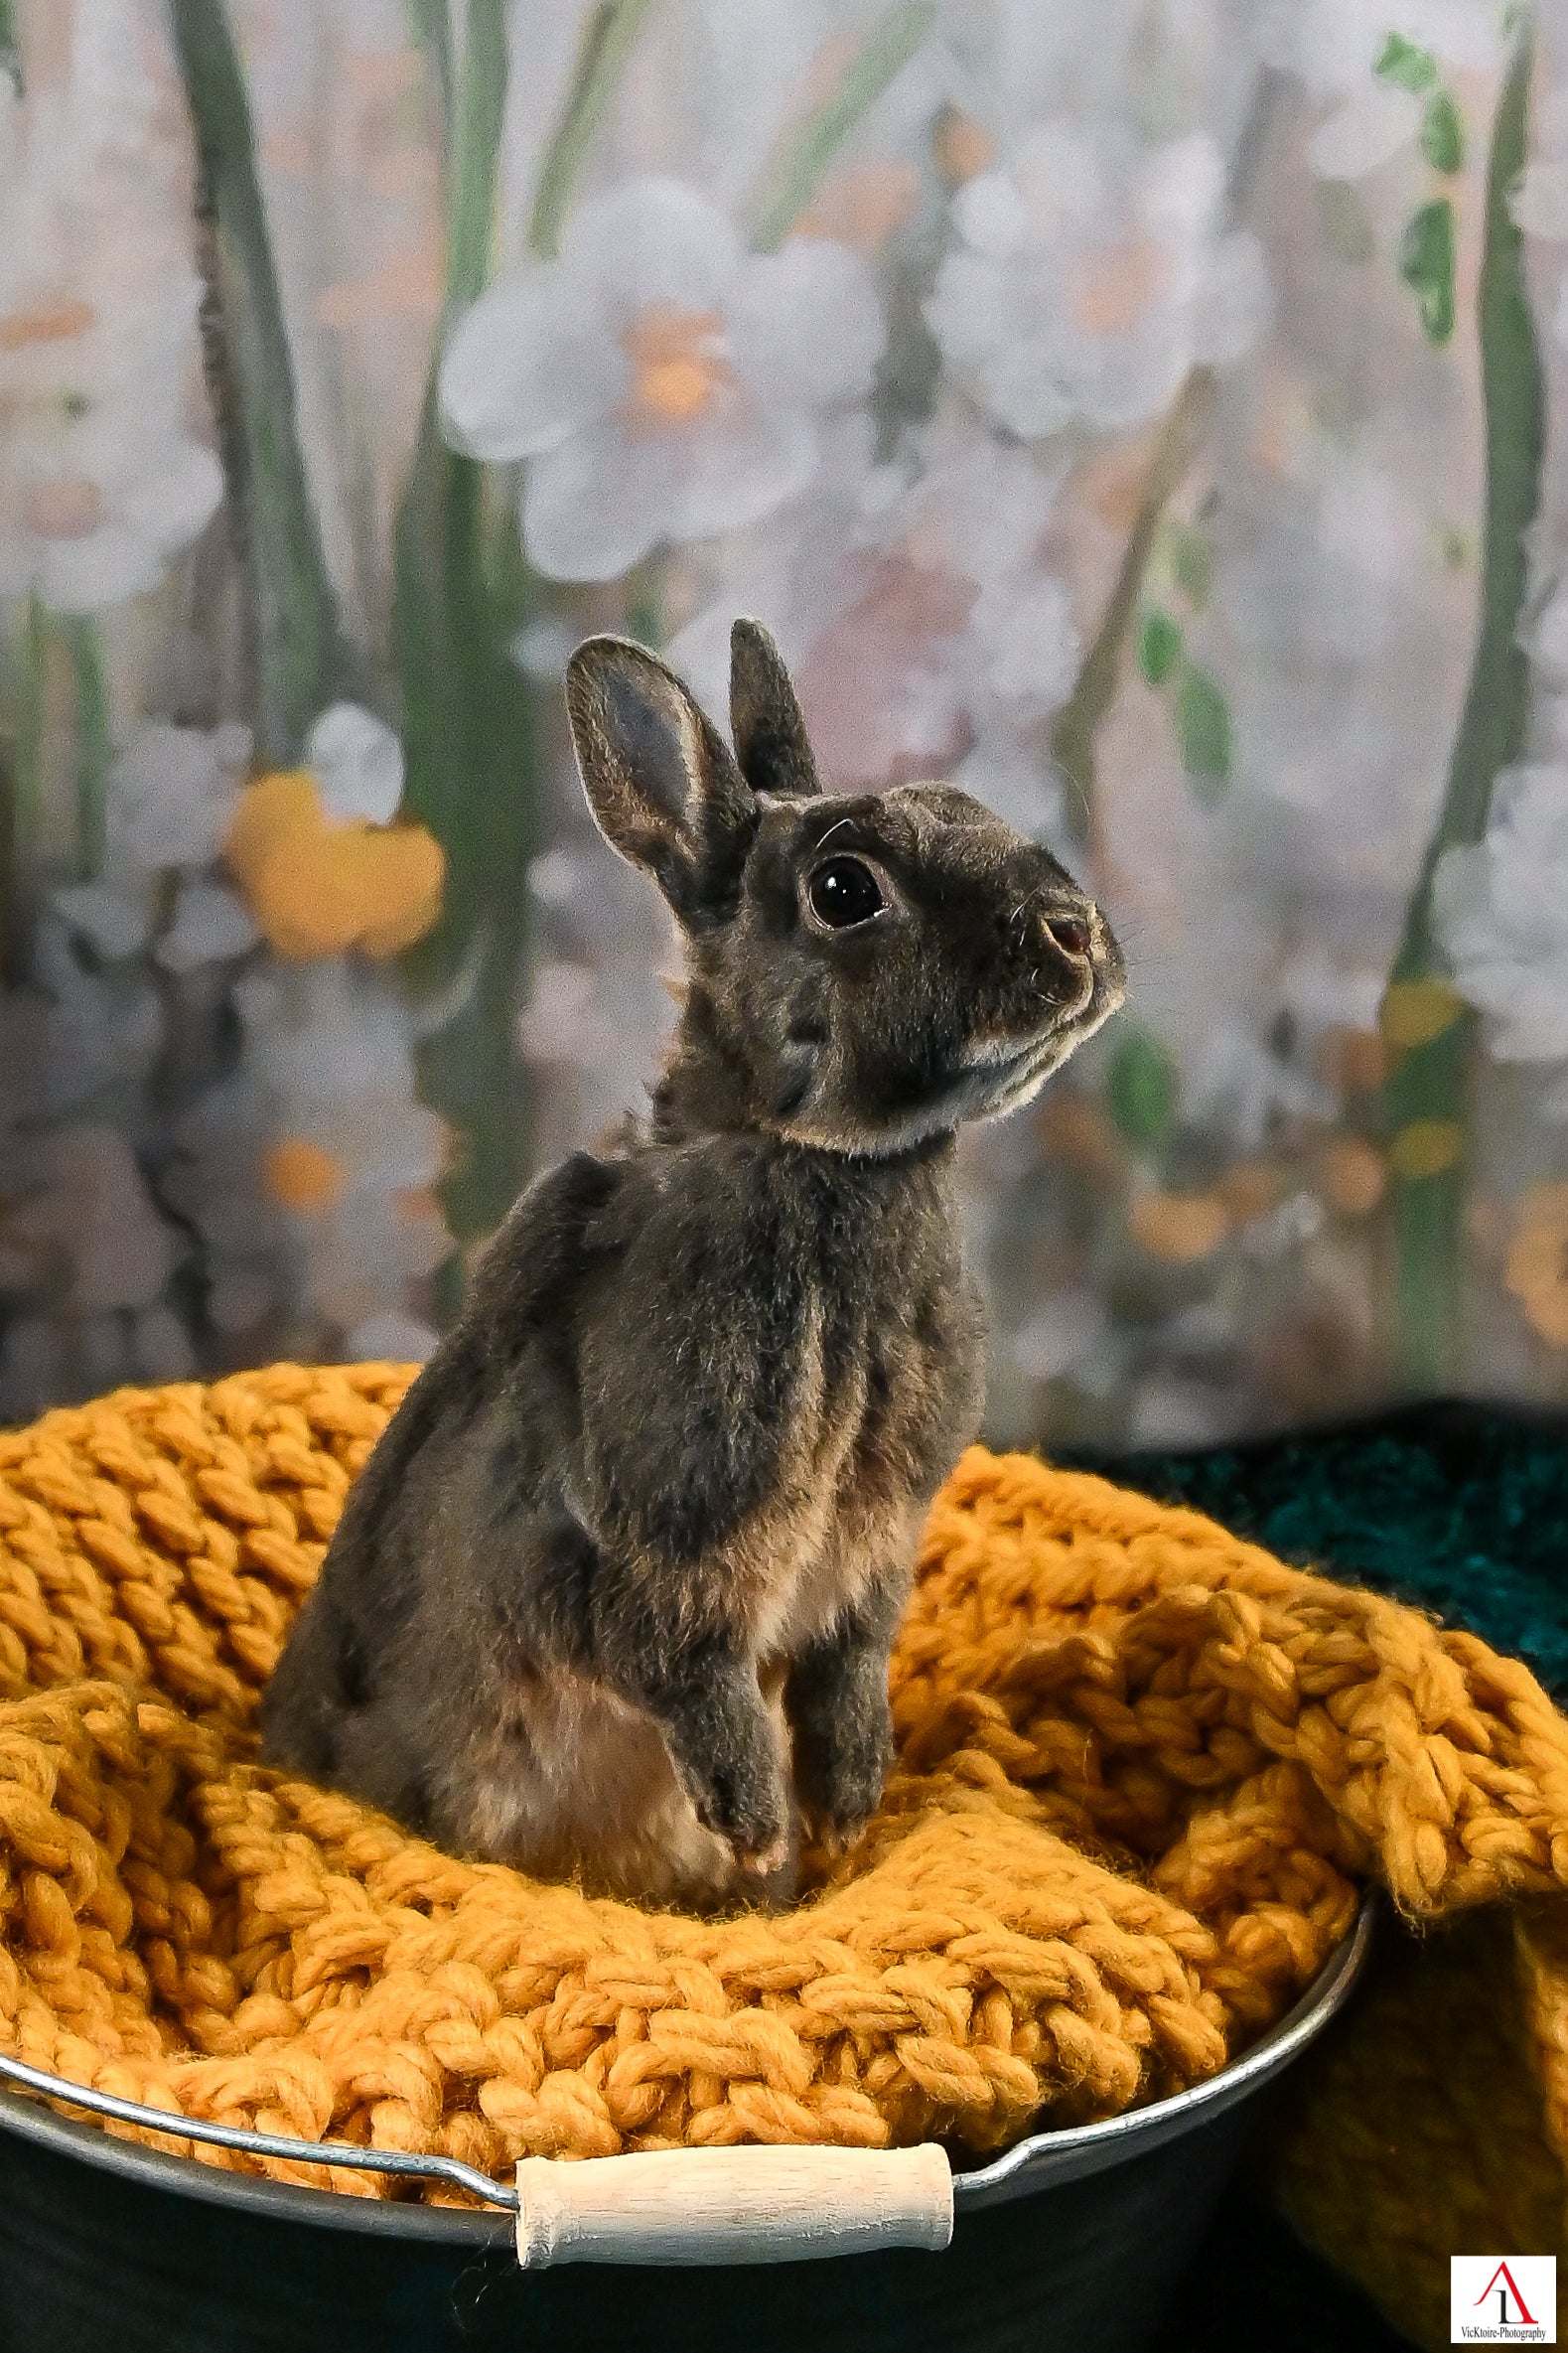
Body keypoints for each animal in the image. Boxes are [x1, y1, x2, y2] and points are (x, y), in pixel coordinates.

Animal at [266, 621, 1128, 1910]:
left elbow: (848, 1669)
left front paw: (849, 1807)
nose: (1079, 934)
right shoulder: (655, 1552)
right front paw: (763, 1823)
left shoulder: (869, 1562)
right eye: (843, 888)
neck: (809, 1156)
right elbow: (687, 1672)